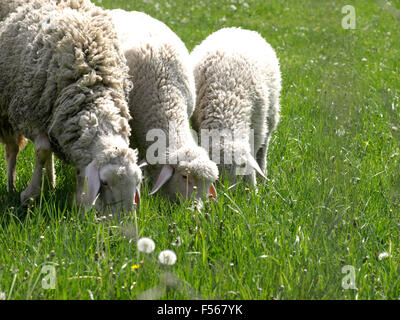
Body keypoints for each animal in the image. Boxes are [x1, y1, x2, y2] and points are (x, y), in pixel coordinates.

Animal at [0, 1, 143, 215]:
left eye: (137, 183)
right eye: (104, 182)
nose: (122, 221)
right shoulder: (28, 115)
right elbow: (42, 150)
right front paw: (30, 194)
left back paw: (51, 184)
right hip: (5, 111)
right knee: (12, 149)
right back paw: (11, 186)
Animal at [191, 27, 282, 188]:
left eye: (242, 166)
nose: (228, 191)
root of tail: (238, 29)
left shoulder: (257, 127)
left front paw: (253, 187)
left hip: (271, 114)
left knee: (263, 148)